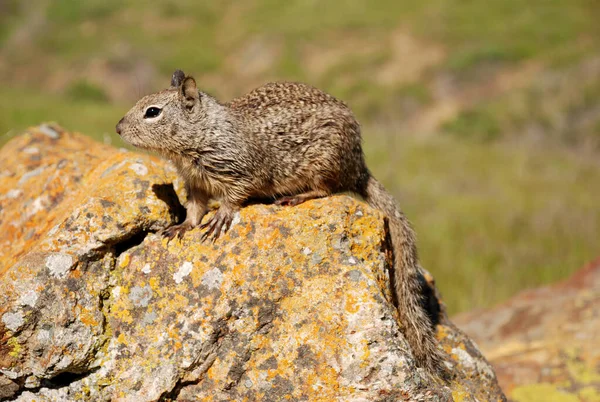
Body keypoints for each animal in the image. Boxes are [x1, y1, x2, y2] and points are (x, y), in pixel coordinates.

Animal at [116, 70, 446, 376]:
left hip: (324, 164)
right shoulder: (194, 183)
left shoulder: (242, 174)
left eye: (152, 112)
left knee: (327, 189)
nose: (118, 128)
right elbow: (195, 211)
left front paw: (222, 216)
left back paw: (296, 197)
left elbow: (234, 198)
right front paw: (181, 226)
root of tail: (359, 167)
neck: (205, 132)